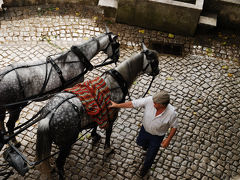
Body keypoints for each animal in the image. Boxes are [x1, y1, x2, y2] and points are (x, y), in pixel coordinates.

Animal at [35, 44, 159, 180]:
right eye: (154, 61)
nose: (157, 72)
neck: (116, 82)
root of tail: (49, 114)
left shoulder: (98, 112)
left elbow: (95, 124)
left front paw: (94, 135)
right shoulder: (111, 117)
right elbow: (109, 133)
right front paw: (108, 149)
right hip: (66, 144)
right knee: (59, 163)